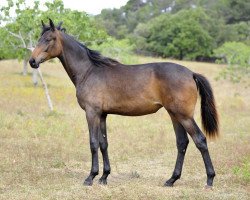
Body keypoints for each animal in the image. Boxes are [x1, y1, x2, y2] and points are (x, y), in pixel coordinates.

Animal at [29, 18, 219, 188]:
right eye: (39, 38)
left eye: (49, 39)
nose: (32, 61)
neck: (89, 71)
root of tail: (191, 73)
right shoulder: (102, 115)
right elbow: (103, 144)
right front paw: (104, 177)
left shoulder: (91, 113)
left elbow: (93, 143)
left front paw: (90, 177)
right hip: (174, 115)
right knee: (182, 143)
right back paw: (171, 180)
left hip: (184, 116)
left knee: (200, 140)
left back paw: (209, 180)